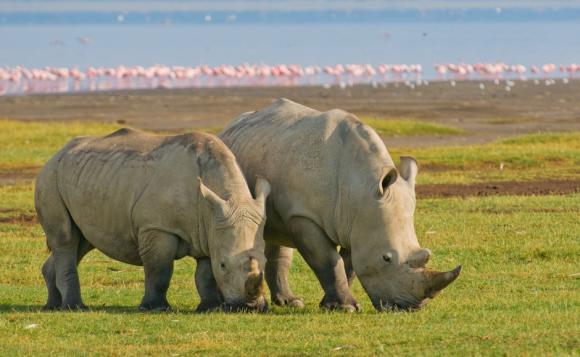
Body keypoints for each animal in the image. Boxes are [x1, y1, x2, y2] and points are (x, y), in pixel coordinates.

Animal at [35, 129, 270, 312]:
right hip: (50, 176)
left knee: (81, 241)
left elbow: (205, 274)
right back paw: (74, 307)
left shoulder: (209, 229)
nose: (250, 307)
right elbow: (159, 270)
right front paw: (154, 307)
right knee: (66, 239)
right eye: (223, 265)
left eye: (266, 262)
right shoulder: (157, 227)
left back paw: (53, 306)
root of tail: (58, 152)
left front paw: (209, 307)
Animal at [220, 98, 464, 310]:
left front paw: (332, 304)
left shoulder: (358, 220)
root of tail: (232, 123)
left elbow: (349, 264)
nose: (410, 307)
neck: (361, 186)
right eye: (386, 258)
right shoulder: (304, 216)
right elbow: (329, 261)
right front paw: (345, 307)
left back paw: (291, 302)